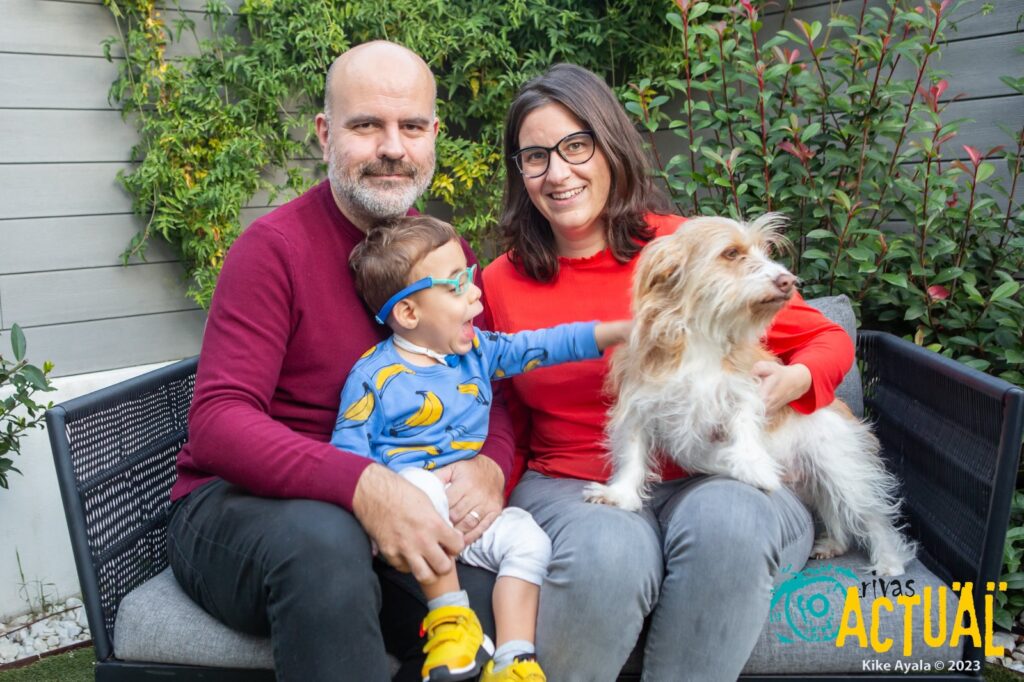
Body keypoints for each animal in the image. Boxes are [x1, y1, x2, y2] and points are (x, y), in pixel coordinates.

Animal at [589, 212, 917, 573]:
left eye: (764, 251)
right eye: (731, 253)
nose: (788, 280)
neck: (702, 335)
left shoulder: (744, 391)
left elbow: (745, 430)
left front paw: (753, 467)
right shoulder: (639, 406)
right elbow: (633, 454)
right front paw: (620, 494)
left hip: (839, 468)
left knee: (874, 517)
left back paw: (889, 562)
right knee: (835, 513)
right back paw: (833, 543)